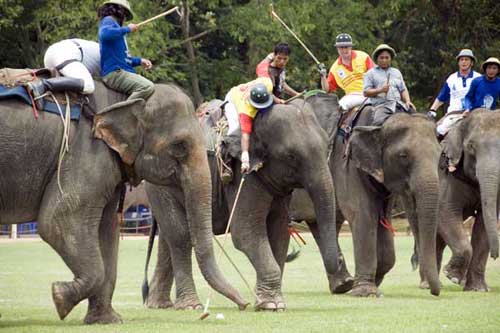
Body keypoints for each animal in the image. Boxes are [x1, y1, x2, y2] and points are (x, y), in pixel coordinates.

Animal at [0, 81, 247, 322]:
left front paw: (106, 320)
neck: (125, 99)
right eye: (179, 146)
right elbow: (58, 221)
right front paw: (59, 297)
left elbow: (107, 230)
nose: (244, 304)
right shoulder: (84, 153)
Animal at [143, 100, 340, 310]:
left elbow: (279, 233)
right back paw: (190, 306)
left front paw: (267, 302)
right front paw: (271, 305)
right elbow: (246, 233)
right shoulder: (242, 176)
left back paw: (159, 304)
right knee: (180, 236)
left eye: (327, 148)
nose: (243, 304)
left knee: (169, 237)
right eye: (291, 156)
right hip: (161, 185)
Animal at [290, 92, 442, 296]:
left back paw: (343, 285)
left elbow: (383, 221)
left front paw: (373, 282)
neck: (379, 121)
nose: (434, 291)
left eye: (440, 154)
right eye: (403, 155)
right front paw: (366, 291)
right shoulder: (346, 162)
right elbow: (363, 214)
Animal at [414, 109, 500, 290]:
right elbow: (445, 212)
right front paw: (452, 276)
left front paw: (477, 289)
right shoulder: (445, 174)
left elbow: (483, 222)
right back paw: (427, 285)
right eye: (471, 147)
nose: (495, 256)